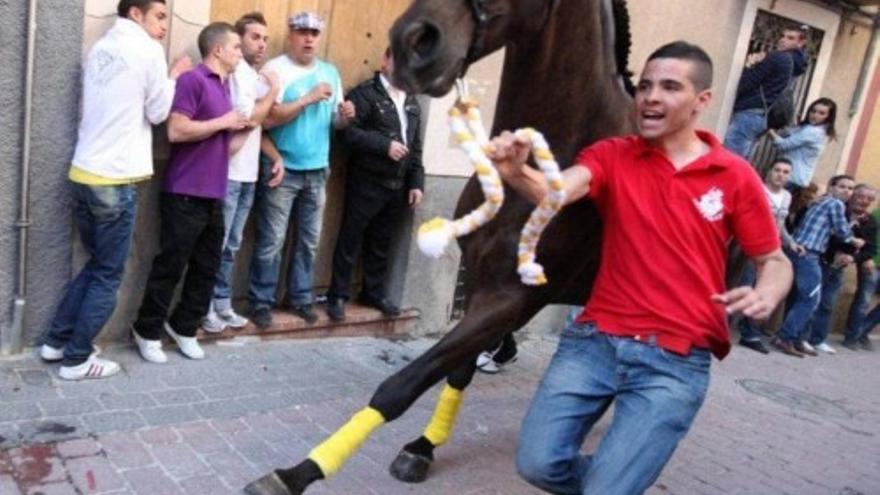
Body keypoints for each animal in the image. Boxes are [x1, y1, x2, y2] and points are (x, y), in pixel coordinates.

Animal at [244, 1, 636, 494]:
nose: (414, 41)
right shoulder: (482, 283)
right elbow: (458, 370)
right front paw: (423, 447)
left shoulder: (516, 297)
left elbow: (404, 384)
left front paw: (298, 473)